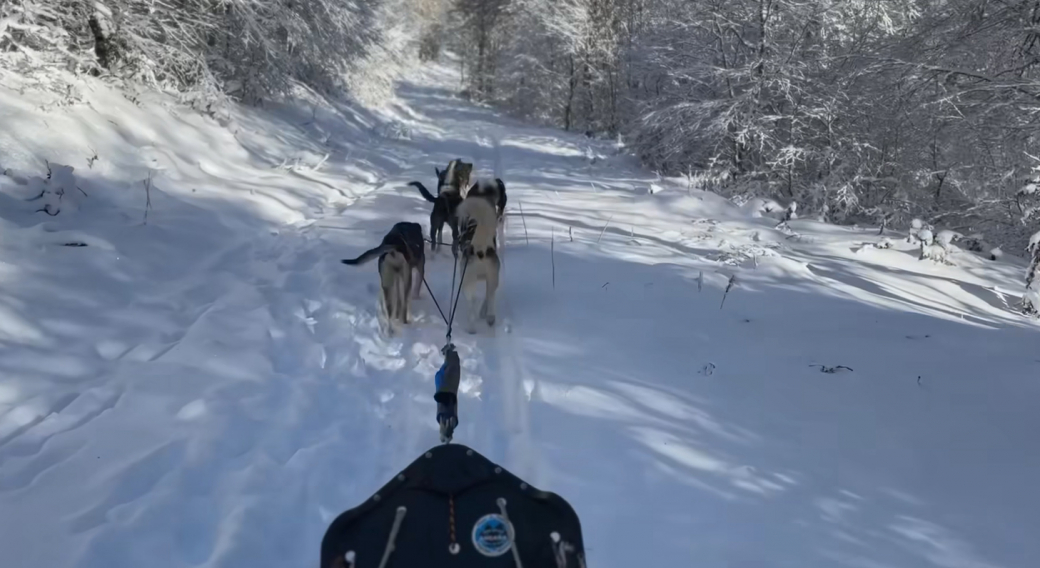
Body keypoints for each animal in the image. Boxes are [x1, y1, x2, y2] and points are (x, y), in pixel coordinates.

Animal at [457, 194, 501, 330]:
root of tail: (479, 250)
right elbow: (487, 296)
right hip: (491, 277)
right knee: (490, 296)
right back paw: (490, 318)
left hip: (467, 280)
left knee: (473, 300)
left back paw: (471, 328)